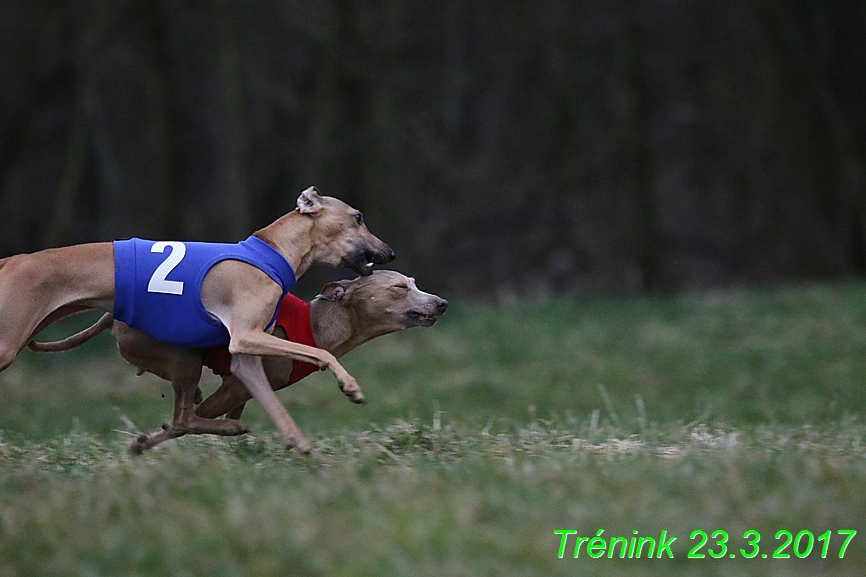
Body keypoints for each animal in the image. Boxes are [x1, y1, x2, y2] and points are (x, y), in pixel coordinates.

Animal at [1, 187, 394, 453]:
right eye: (358, 217)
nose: (390, 252)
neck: (271, 253)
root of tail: (11, 260)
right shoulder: (245, 335)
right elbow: (321, 353)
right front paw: (351, 387)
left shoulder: (247, 356)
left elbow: (271, 400)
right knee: (183, 418)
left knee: (184, 417)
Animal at [29, 271, 447, 453]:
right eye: (400, 287)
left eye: (413, 283)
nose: (442, 303)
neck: (318, 323)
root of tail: (114, 315)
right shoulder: (239, 380)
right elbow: (184, 424)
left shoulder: (240, 390)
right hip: (184, 358)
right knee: (183, 418)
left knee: (186, 411)